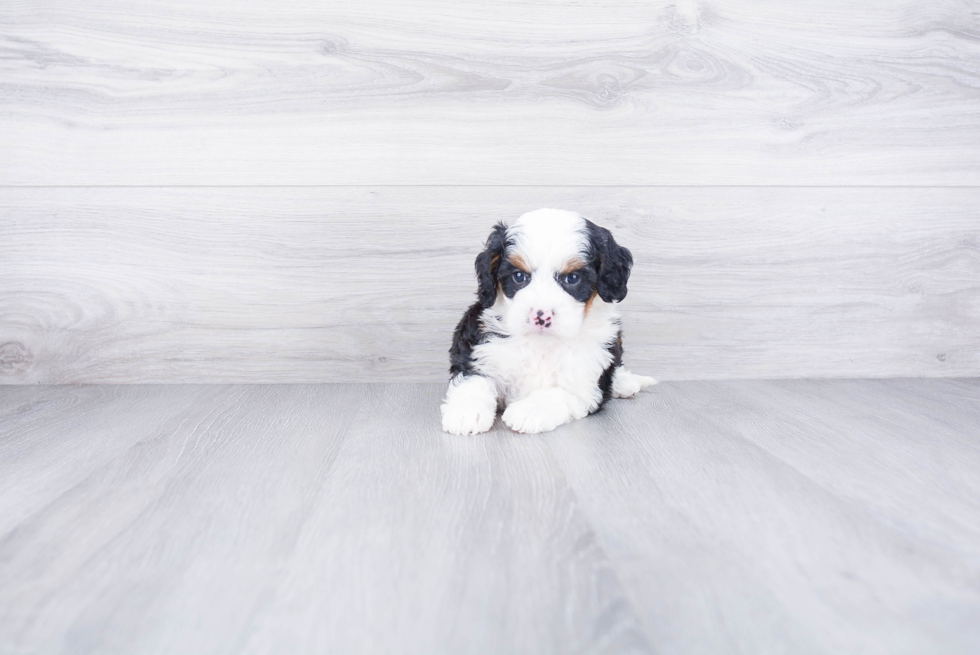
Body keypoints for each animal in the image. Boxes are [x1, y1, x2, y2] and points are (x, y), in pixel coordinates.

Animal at [444, 210, 660, 436]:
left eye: (572, 278)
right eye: (519, 276)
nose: (542, 315)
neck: (542, 343)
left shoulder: (586, 381)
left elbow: (557, 393)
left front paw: (529, 411)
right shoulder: (478, 345)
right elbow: (474, 378)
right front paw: (466, 412)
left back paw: (624, 383)